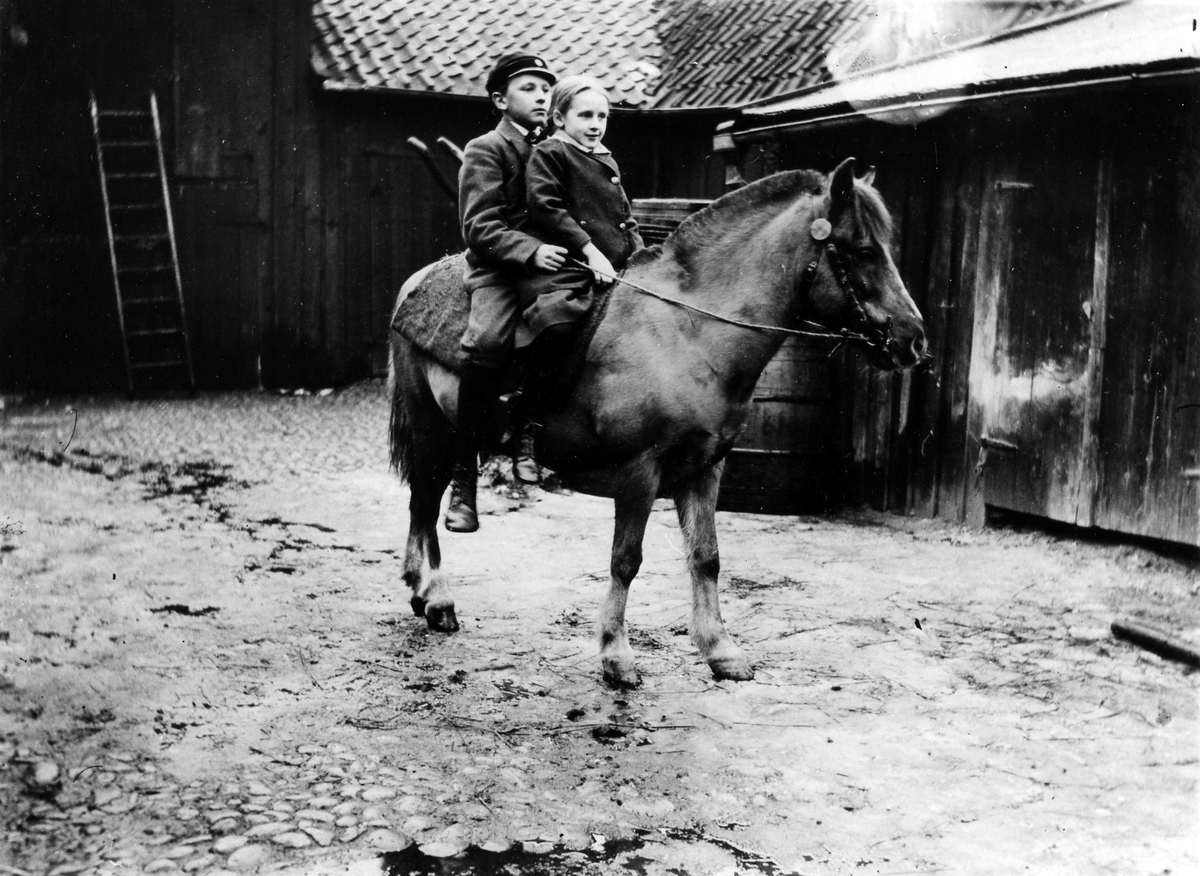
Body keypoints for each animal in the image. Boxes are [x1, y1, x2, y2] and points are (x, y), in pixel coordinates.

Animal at [388, 160, 921, 686]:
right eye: (864, 251)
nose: (912, 339)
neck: (689, 332)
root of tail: (416, 282)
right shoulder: (639, 470)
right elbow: (626, 559)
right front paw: (616, 653)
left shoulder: (705, 467)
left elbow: (706, 557)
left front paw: (720, 649)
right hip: (432, 429)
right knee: (425, 501)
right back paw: (437, 595)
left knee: (423, 503)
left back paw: (424, 593)